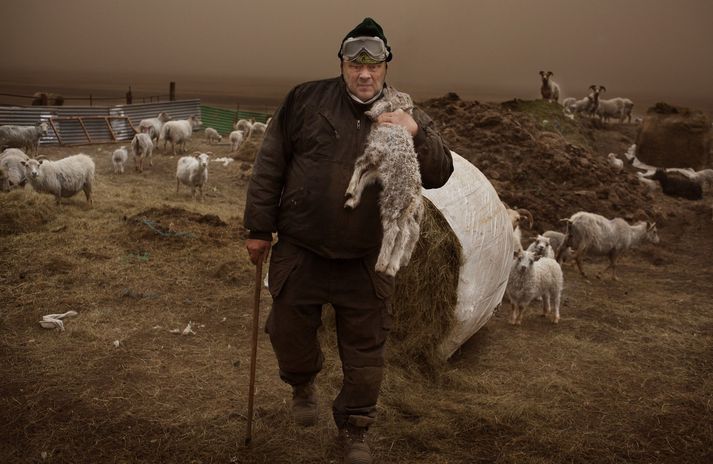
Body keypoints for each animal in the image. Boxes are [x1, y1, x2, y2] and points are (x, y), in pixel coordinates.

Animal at [344, 86, 422, 276]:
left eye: (399, 96)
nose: (389, 87)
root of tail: (413, 193)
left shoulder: (375, 150)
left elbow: (359, 164)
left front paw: (350, 189)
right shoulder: (378, 170)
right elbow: (364, 176)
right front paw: (353, 199)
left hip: (392, 201)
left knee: (393, 230)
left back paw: (381, 264)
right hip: (405, 210)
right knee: (405, 233)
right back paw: (393, 266)